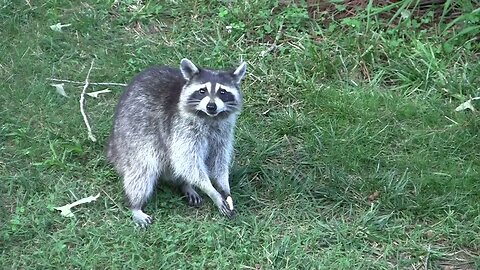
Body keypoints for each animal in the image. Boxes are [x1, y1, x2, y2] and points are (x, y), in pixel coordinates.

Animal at [106, 58, 246, 226]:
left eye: (222, 92)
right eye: (202, 91)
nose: (211, 106)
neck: (210, 117)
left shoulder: (223, 134)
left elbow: (218, 161)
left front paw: (224, 186)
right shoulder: (182, 129)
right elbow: (187, 162)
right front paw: (211, 190)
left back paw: (185, 184)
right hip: (132, 138)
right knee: (142, 170)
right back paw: (135, 204)